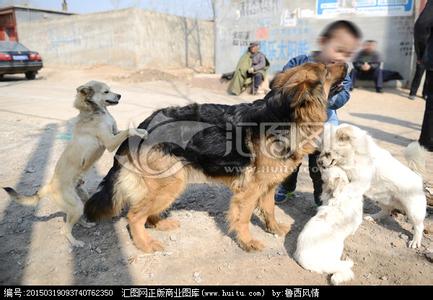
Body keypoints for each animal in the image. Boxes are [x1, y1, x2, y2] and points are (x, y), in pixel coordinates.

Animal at [2, 81, 147, 247]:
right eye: (106, 91)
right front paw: (141, 132)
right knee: (64, 229)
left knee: (72, 220)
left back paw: (86, 224)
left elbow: (126, 130)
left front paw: (139, 130)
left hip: (81, 201)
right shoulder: (110, 141)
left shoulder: (115, 132)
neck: (94, 112)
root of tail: (50, 185)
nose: (119, 95)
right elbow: (128, 130)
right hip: (75, 206)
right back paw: (75, 242)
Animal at [85, 62, 348, 253]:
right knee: (134, 215)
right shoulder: (250, 190)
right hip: (170, 182)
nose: (346, 63)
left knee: (145, 212)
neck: (284, 117)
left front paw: (274, 229)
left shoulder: (268, 186)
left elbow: (270, 209)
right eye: (326, 70)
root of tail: (143, 125)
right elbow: (243, 218)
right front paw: (247, 243)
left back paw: (160, 223)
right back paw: (145, 243)